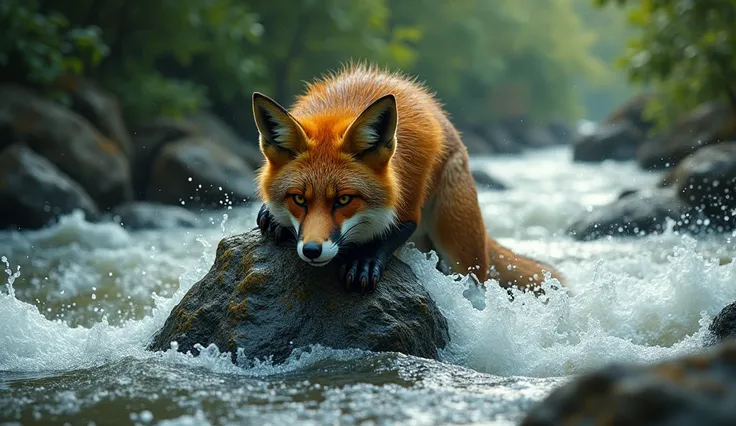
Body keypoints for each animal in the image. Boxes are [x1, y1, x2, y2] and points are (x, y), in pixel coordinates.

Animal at [250, 63, 568, 292]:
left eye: (343, 200)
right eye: (298, 199)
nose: (312, 250)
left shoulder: (411, 192)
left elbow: (395, 230)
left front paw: (364, 261)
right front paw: (272, 217)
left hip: (458, 244)